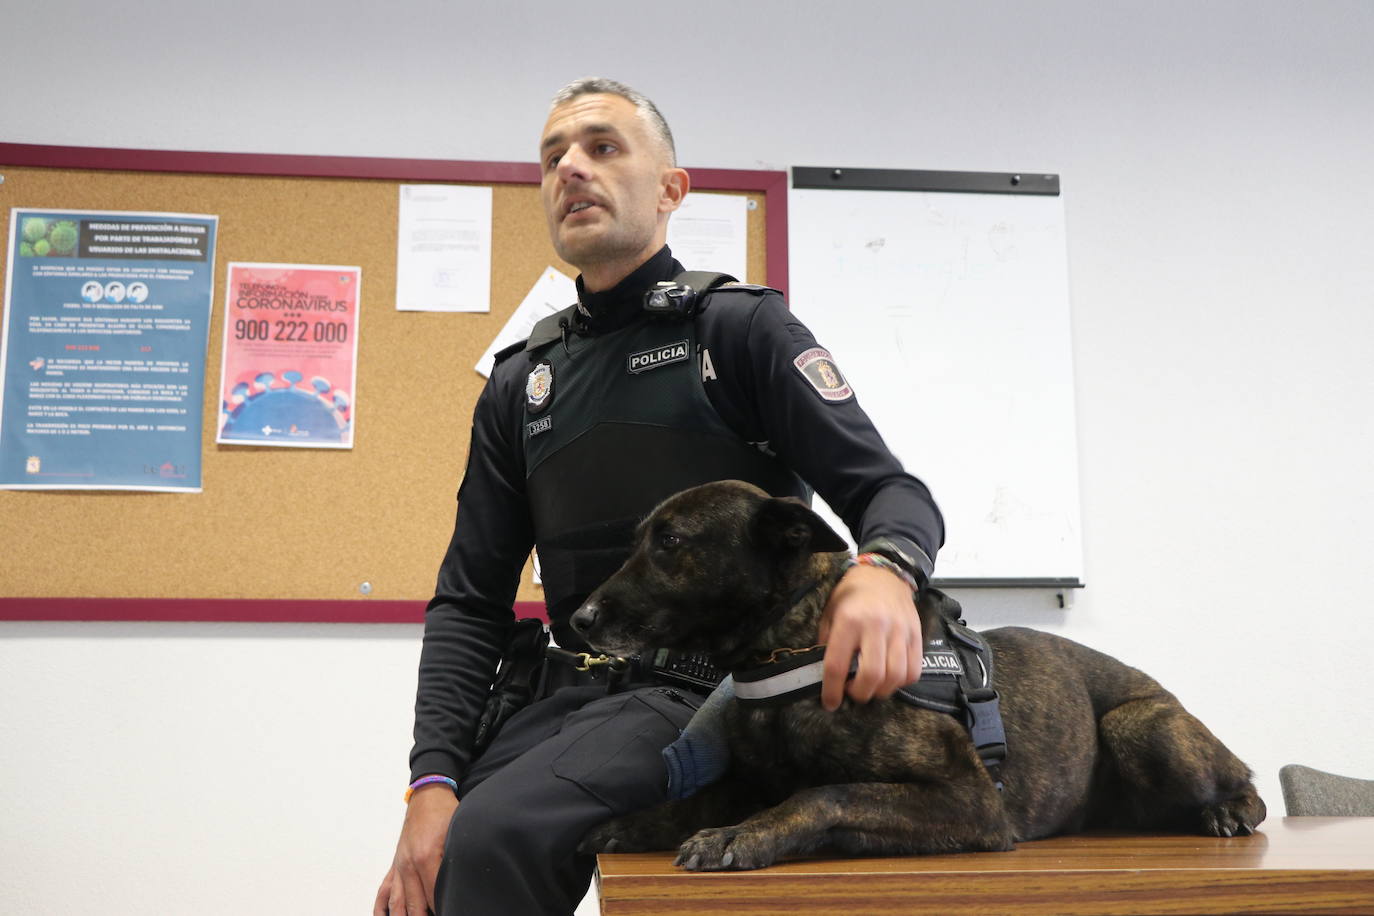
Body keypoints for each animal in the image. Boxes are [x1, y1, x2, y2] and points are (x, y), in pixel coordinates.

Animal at [568, 480, 1264, 873]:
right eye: (640, 539)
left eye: (671, 542)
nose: (578, 619)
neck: (790, 647)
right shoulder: (748, 779)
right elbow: (699, 798)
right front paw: (641, 823)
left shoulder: (973, 802)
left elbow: (824, 794)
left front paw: (744, 835)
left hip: (1138, 725)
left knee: (1248, 788)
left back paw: (1228, 812)